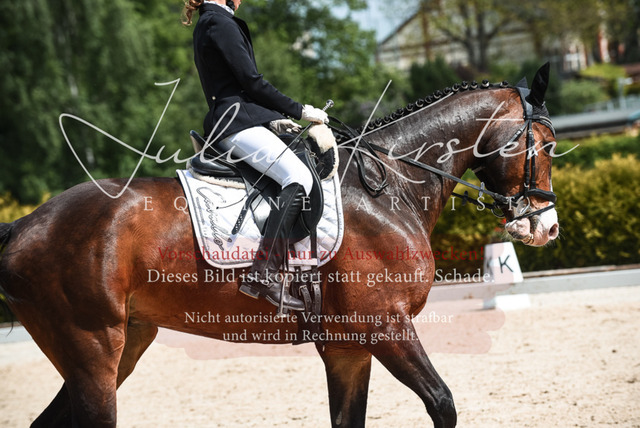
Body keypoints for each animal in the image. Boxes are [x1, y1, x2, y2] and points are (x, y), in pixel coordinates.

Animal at [0, 63, 558, 428]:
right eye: (550, 145)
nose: (547, 228)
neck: (390, 186)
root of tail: (26, 223)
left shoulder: (347, 346)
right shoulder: (385, 326)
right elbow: (443, 403)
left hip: (124, 344)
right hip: (92, 348)